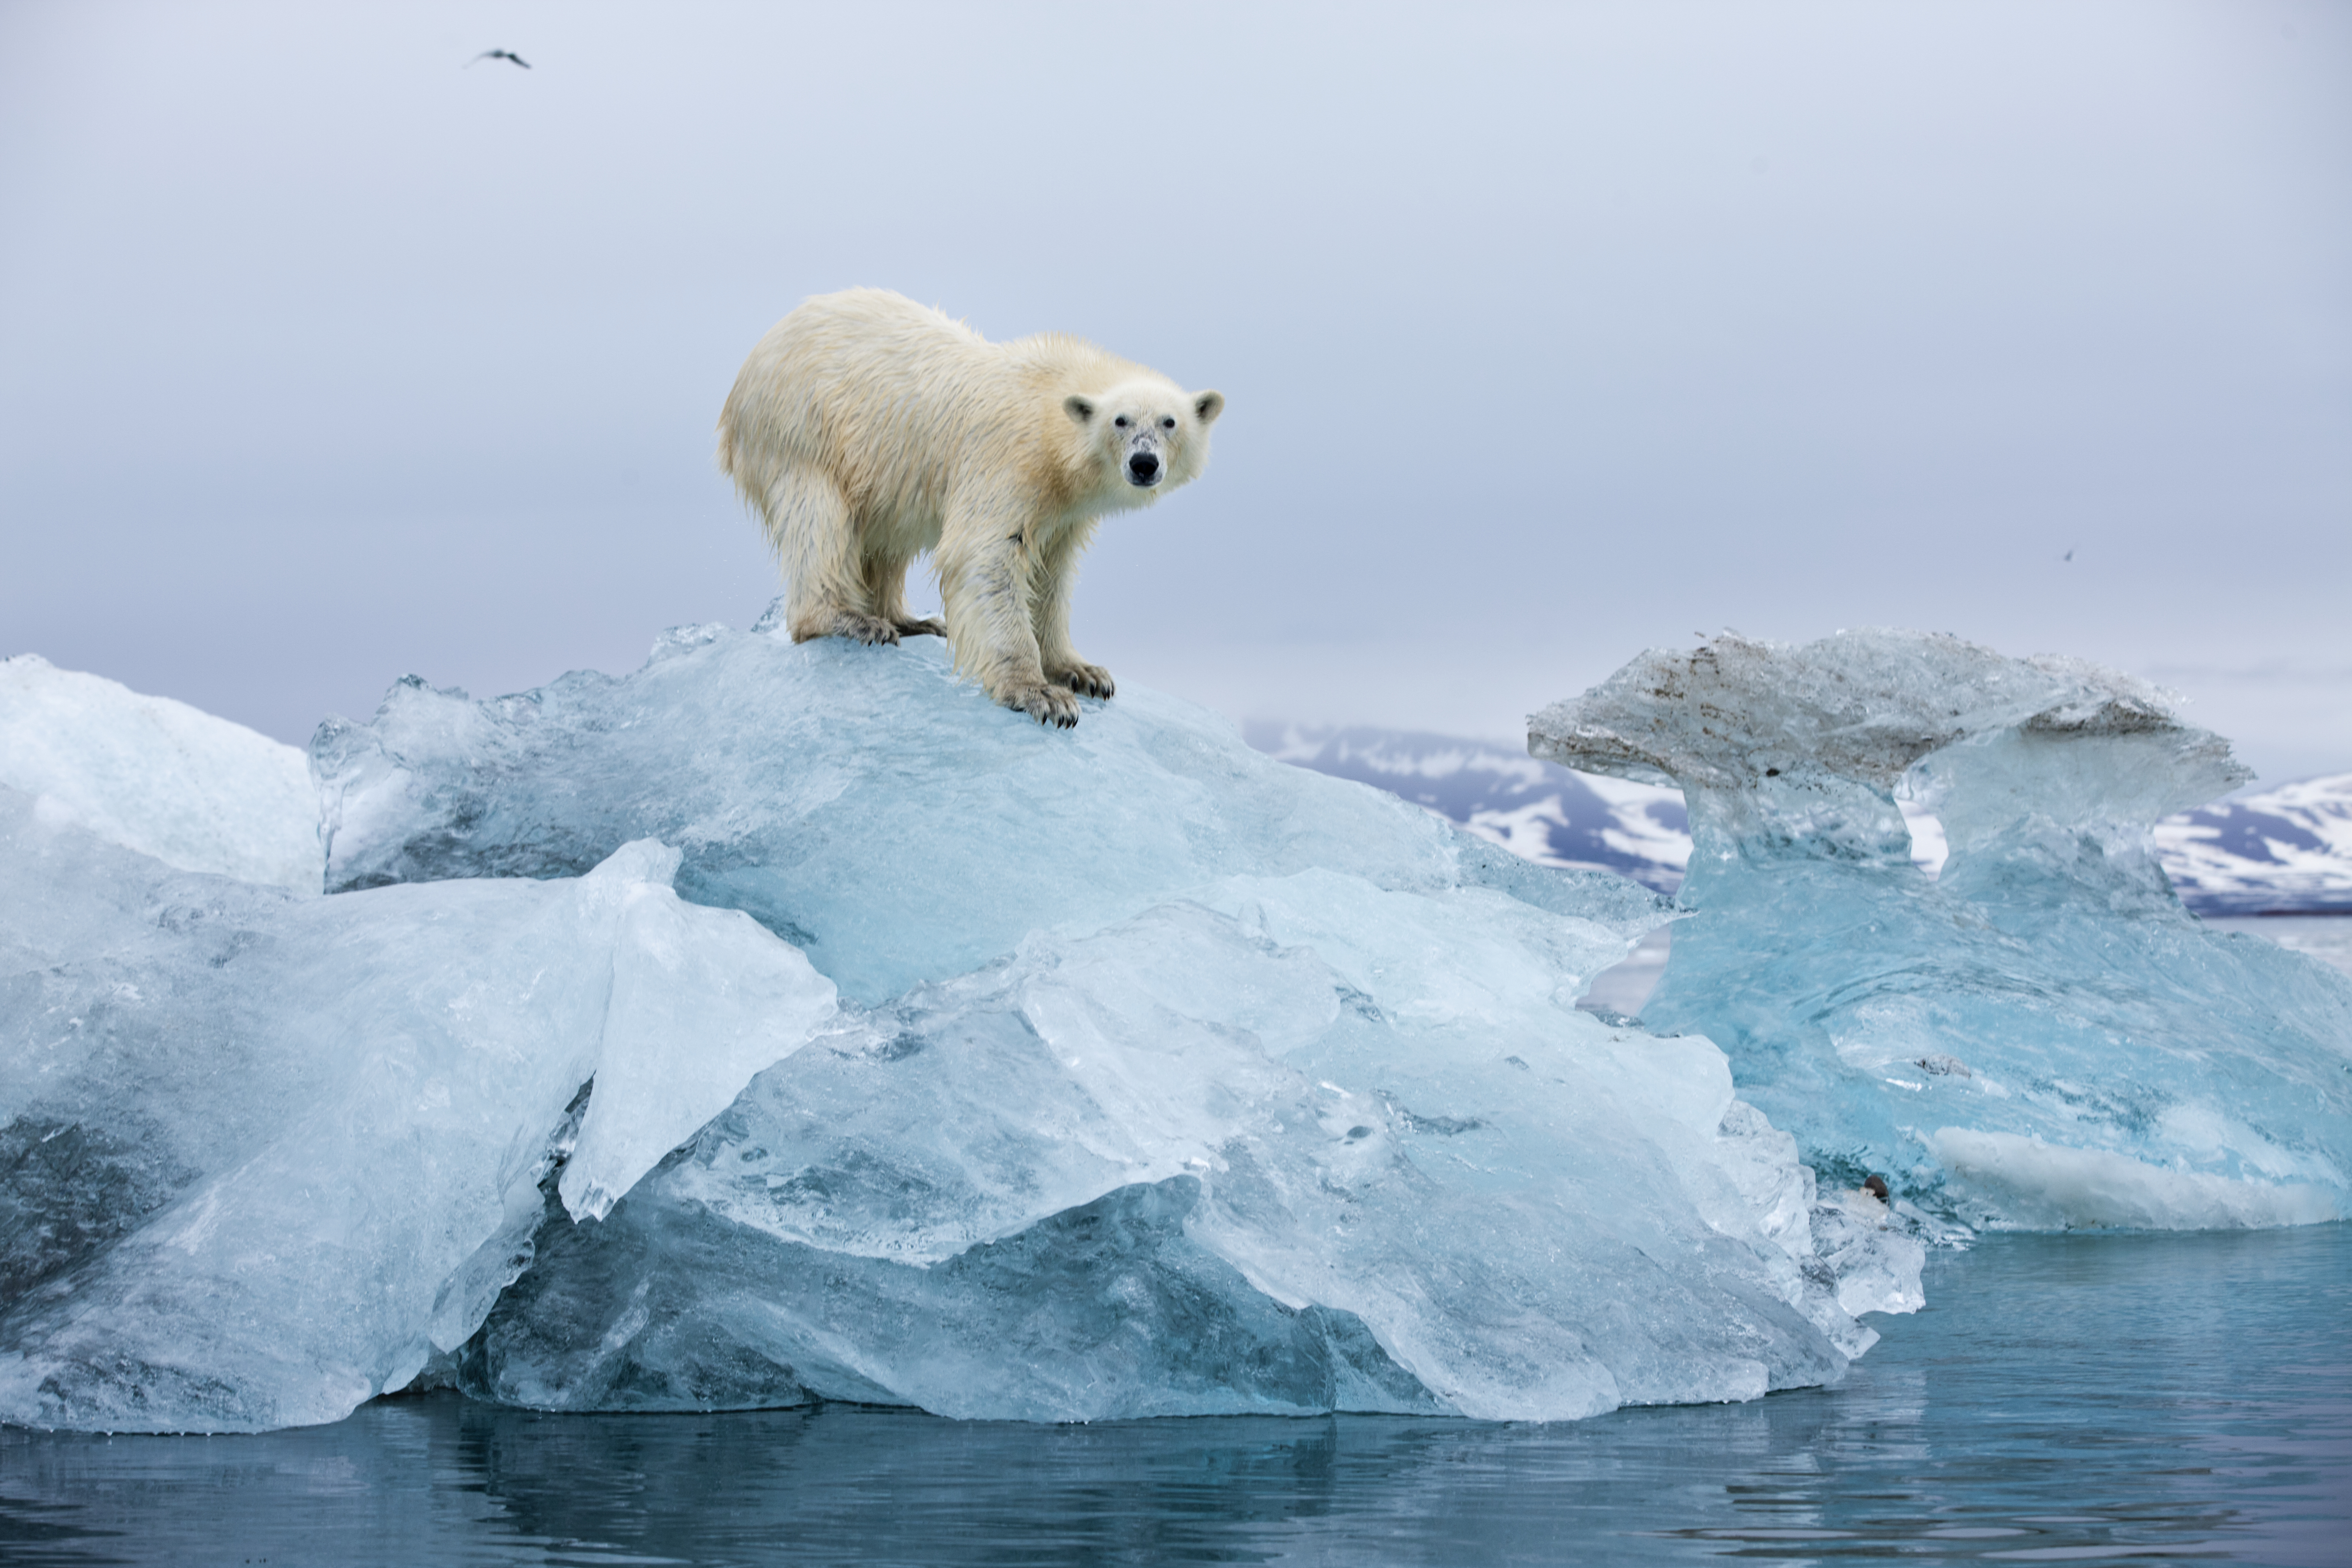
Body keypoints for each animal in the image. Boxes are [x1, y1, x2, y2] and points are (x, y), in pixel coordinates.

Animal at [717, 288, 1224, 728]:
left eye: (1170, 422)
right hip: (803, 429)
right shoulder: (1008, 461)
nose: (1144, 464)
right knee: (819, 517)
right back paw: (850, 620)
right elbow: (987, 556)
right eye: (1120, 421)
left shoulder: (1065, 511)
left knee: (885, 538)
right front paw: (1040, 694)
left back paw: (911, 619)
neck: (1047, 412)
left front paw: (1082, 672)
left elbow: (1051, 576)